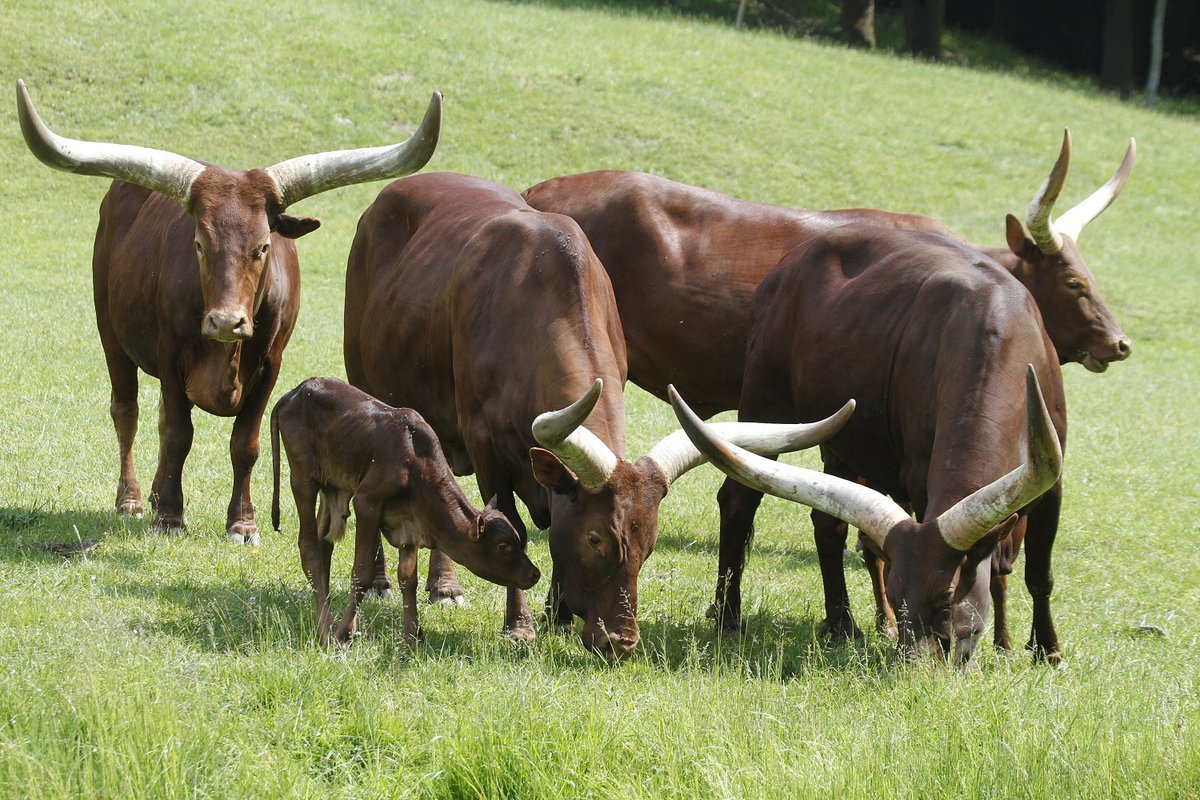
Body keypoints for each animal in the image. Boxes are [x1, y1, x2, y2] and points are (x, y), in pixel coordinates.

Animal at [16, 79, 441, 544]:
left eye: (263, 246)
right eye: (200, 244)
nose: (225, 321)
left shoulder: (271, 365)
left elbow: (245, 443)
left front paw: (242, 521)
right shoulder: (169, 355)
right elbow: (179, 434)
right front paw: (170, 516)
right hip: (109, 331)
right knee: (127, 411)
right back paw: (132, 499)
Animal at [272, 379, 540, 647]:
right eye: (503, 546)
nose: (535, 574)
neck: (414, 464)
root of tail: (295, 392)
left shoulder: (410, 522)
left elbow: (408, 578)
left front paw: (413, 636)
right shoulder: (366, 503)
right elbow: (363, 572)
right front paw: (344, 633)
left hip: (333, 487)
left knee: (323, 544)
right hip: (303, 478)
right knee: (310, 548)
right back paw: (327, 628)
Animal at [343, 173, 854, 657]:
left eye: (649, 545)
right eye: (596, 539)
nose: (621, 642)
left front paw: (558, 616)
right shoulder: (486, 450)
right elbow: (510, 524)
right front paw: (520, 624)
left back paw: (444, 587)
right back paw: (384, 582)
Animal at [667, 221, 1070, 666]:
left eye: (948, 597)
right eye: (898, 594)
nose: (917, 668)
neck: (999, 335)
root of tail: (789, 264)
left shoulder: (1051, 484)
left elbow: (1039, 574)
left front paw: (1047, 651)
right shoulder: (921, 481)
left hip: (838, 441)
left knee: (827, 525)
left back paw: (841, 623)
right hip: (764, 404)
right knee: (738, 501)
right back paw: (729, 616)